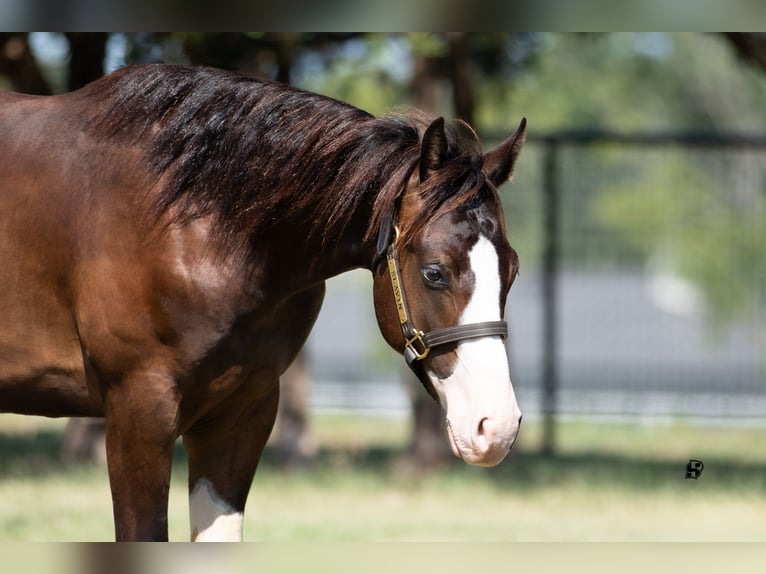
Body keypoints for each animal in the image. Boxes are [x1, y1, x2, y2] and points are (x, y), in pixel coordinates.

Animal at [0, 65, 528, 544]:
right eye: (434, 272)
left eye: (513, 271)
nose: (495, 427)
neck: (193, 220)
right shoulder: (139, 410)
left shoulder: (241, 413)